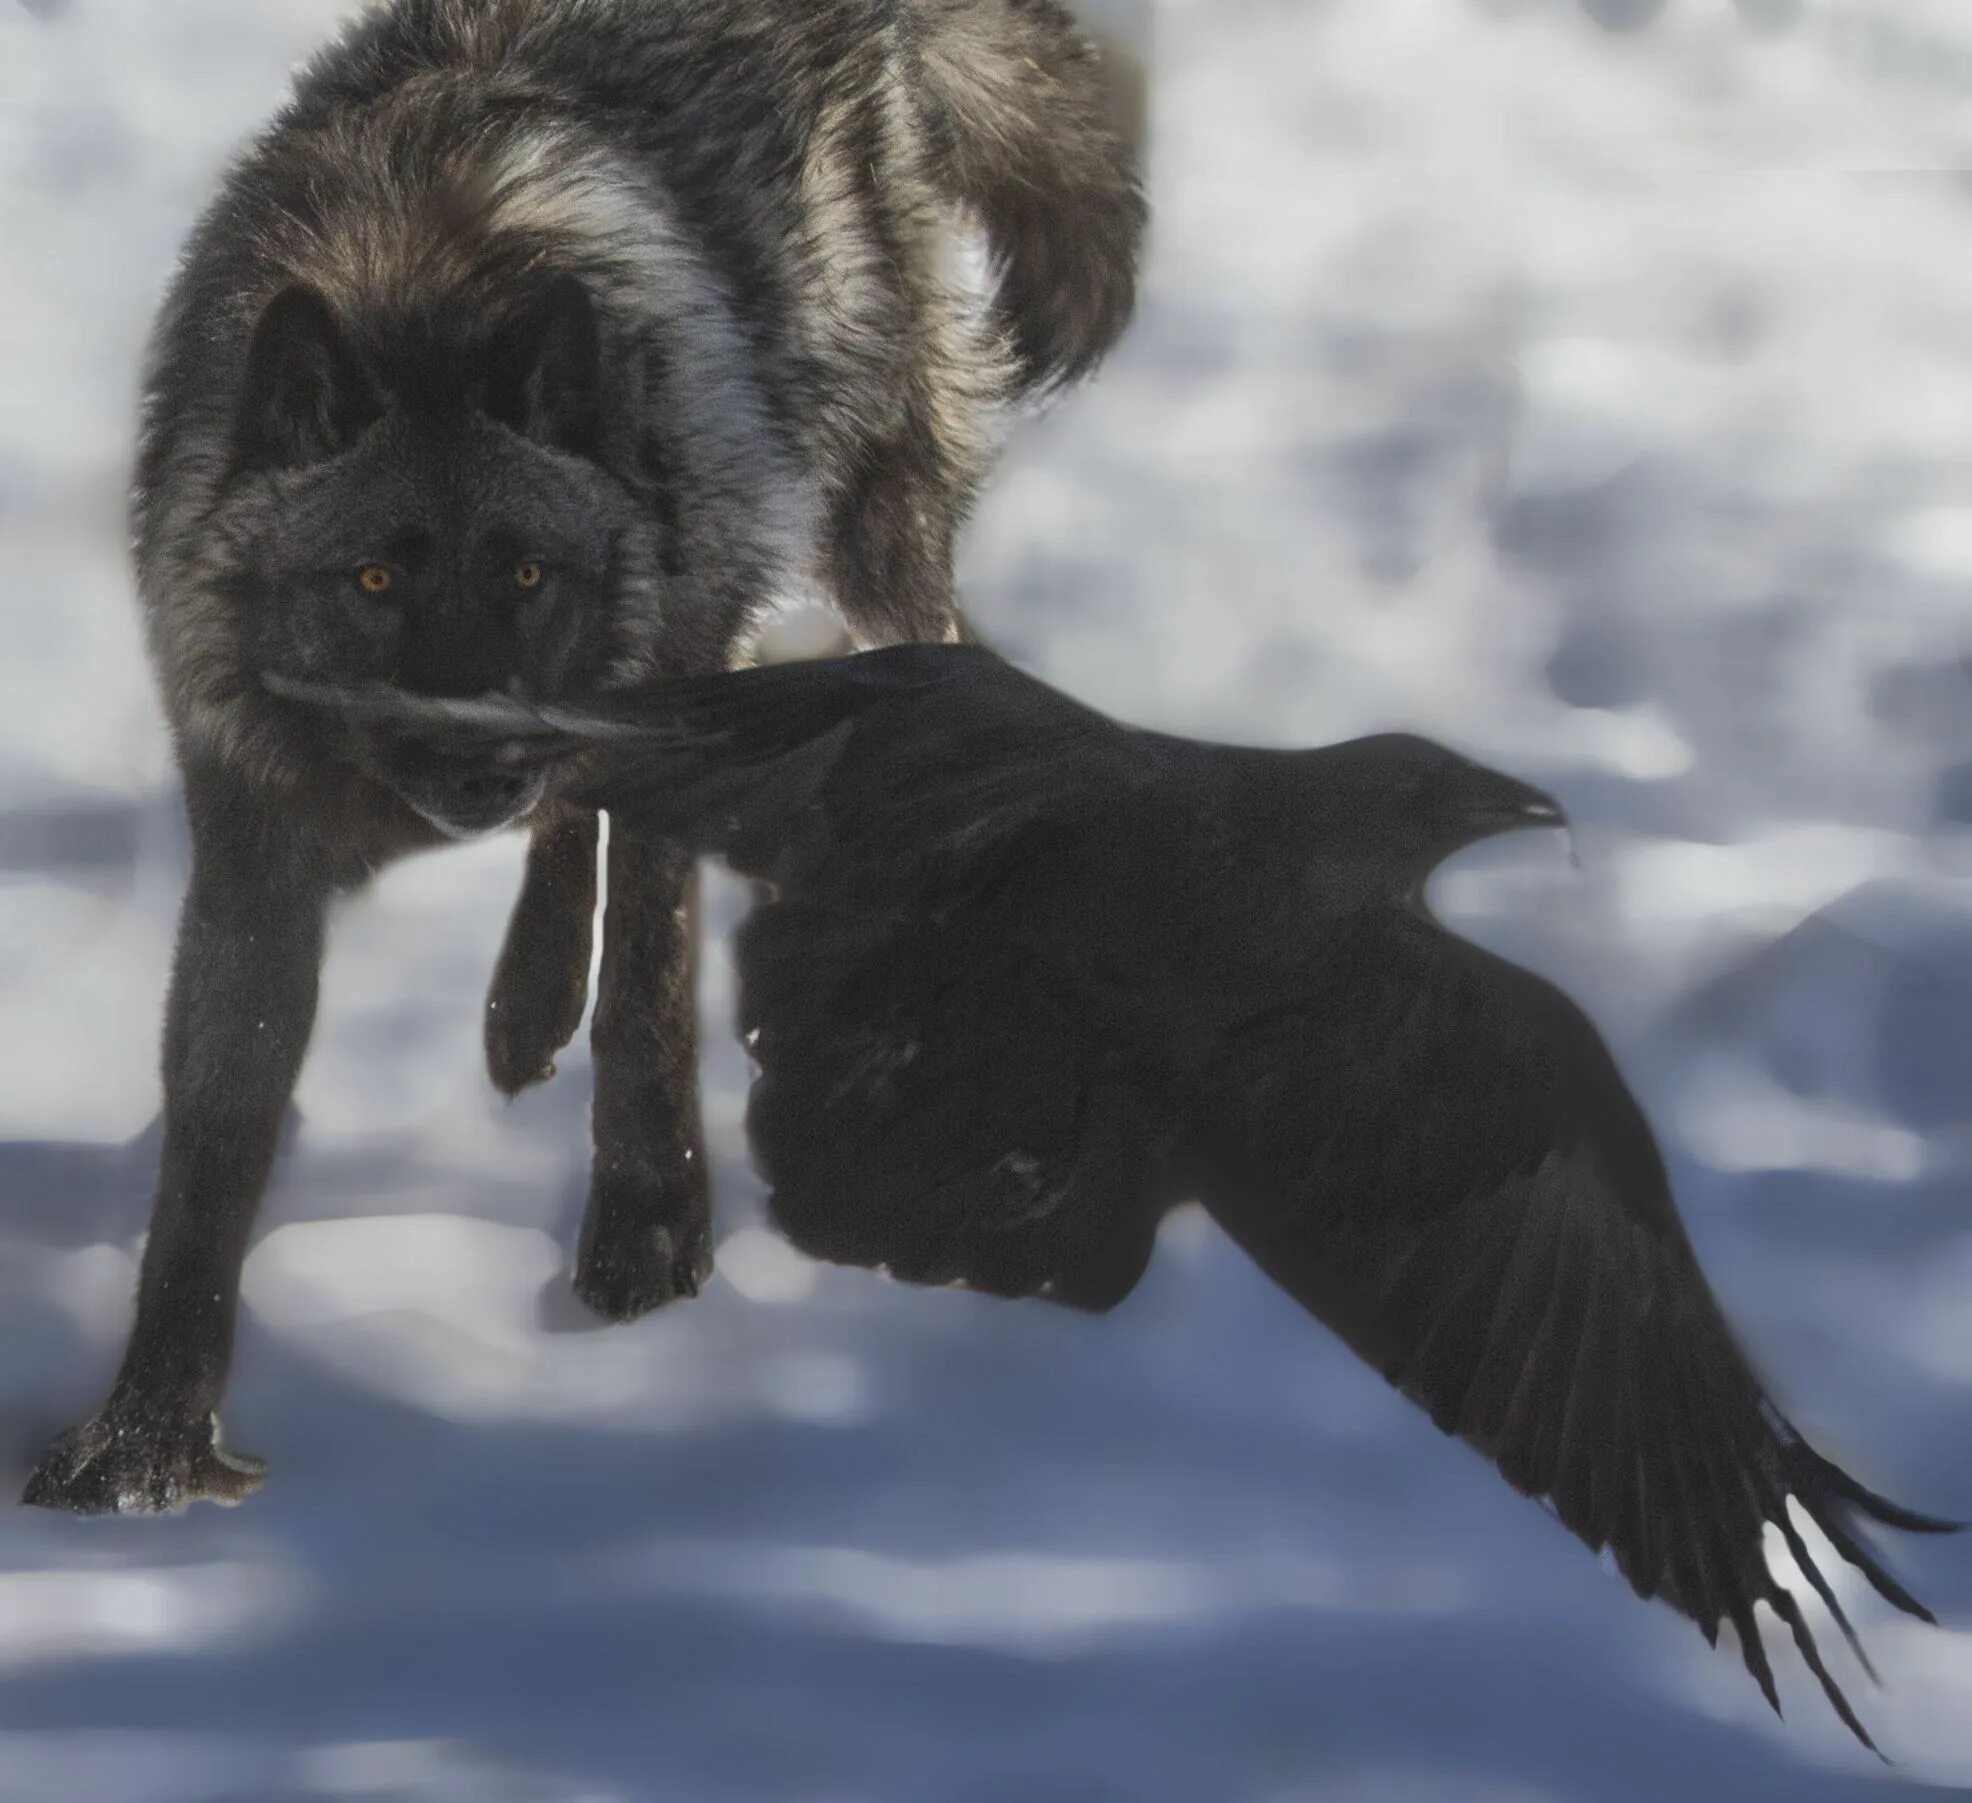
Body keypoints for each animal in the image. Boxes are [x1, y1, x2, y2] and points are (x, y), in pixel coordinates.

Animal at [23, 0, 1143, 1507]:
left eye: (528, 572)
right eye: (374, 579)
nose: (480, 766)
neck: (422, 280)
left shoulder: (663, 686)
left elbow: (649, 993)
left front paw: (648, 1238)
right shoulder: (254, 826)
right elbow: (214, 1142)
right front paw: (146, 1444)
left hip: (862, 540)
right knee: (573, 836)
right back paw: (522, 1003)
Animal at [278, 643, 1956, 1743]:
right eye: (1429, 780)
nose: (1533, 804)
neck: (1295, 855)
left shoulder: (1524, 1080)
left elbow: (1606, 1162)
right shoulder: (962, 710)